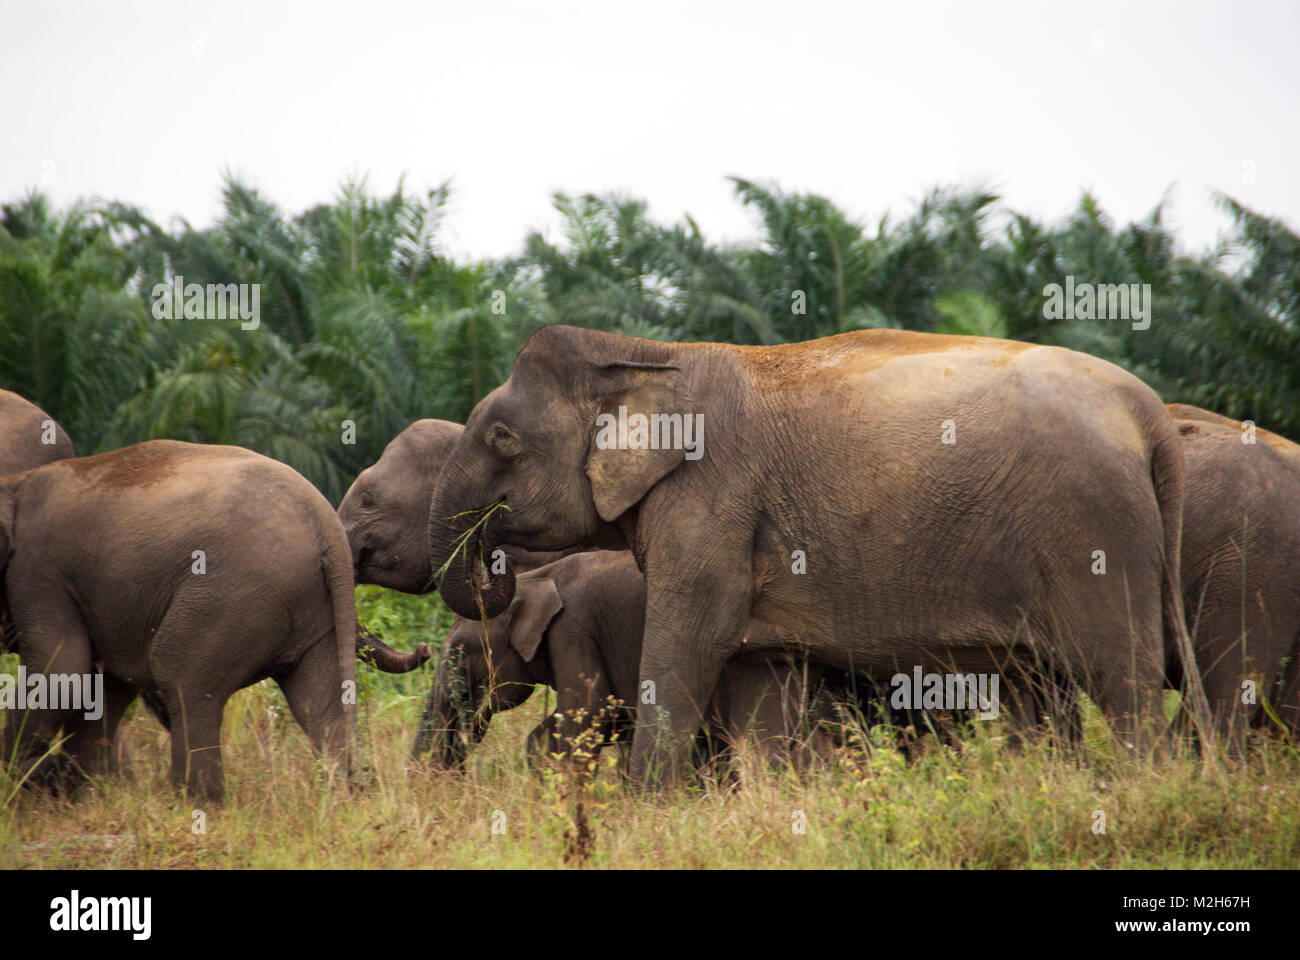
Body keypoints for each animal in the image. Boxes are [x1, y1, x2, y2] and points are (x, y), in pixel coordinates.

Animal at [1, 437, 356, 796]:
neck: (15, 482)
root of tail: (324, 522)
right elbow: (107, 683)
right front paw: (81, 788)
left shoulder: (37, 568)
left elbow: (61, 668)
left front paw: (34, 778)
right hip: (309, 607)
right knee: (318, 704)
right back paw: (334, 795)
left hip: (233, 594)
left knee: (182, 679)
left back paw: (198, 800)